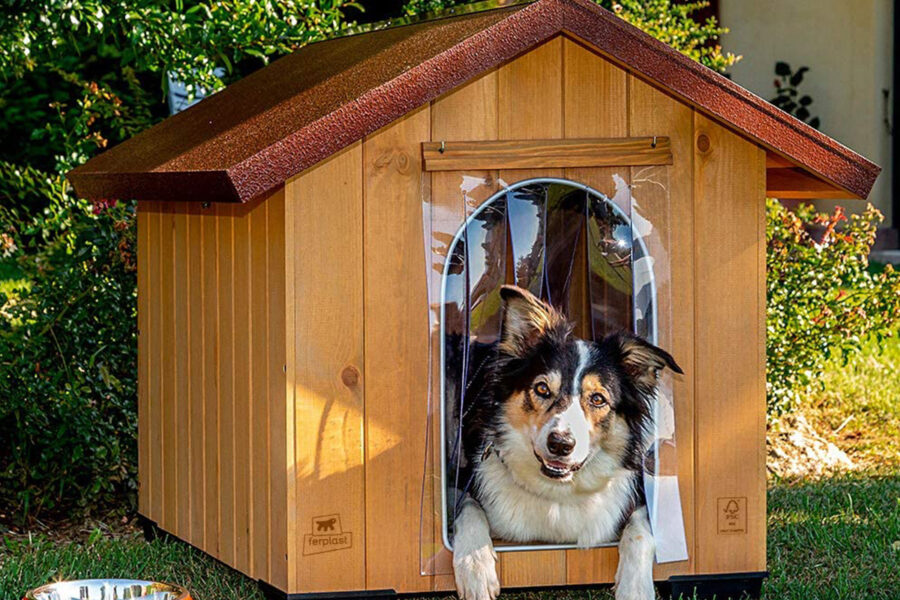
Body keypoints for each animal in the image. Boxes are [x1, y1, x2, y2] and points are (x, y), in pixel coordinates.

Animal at [454, 284, 680, 600]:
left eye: (597, 399)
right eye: (542, 389)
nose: (560, 444)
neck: (558, 491)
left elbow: (640, 527)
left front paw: (634, 588)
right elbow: (468, 508)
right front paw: (474, 567)